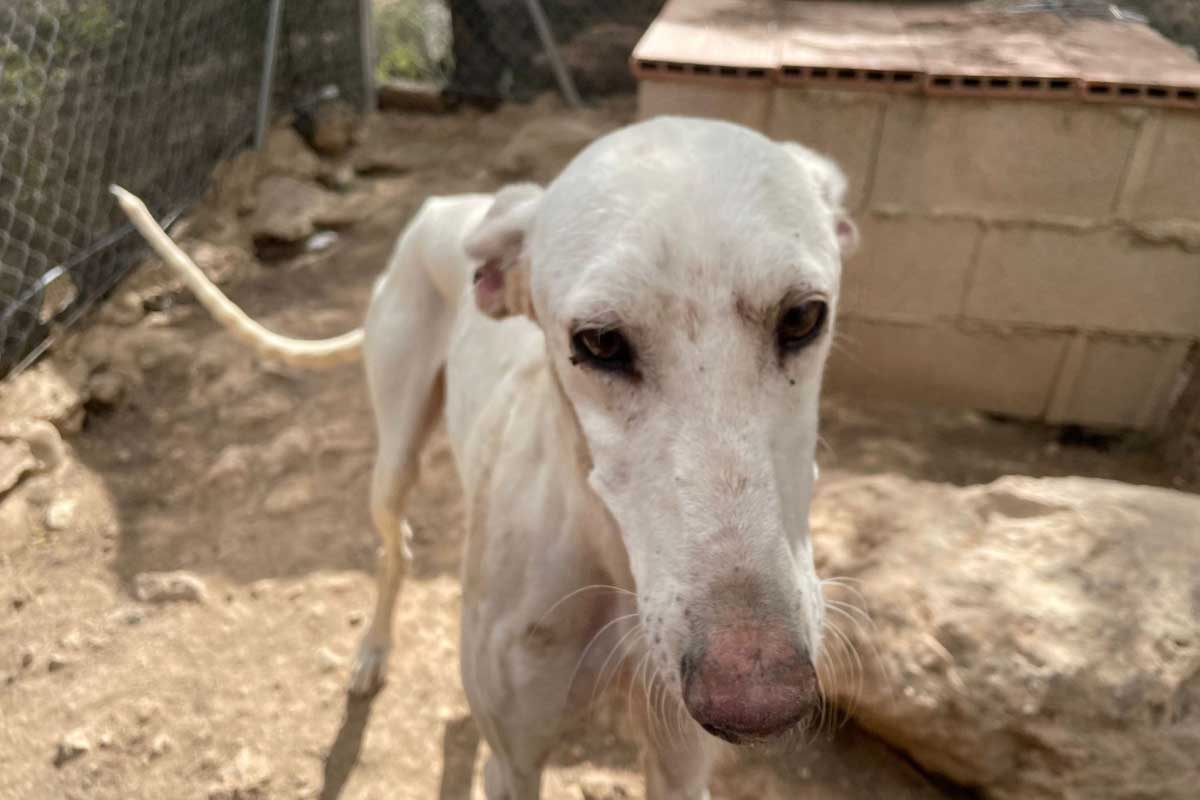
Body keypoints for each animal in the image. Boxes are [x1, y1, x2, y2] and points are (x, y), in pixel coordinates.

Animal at [113, 115, 858, 800]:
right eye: (598, 342)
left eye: (803, 317)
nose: (759, 697)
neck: (609, 561)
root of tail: (451, 206)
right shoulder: (515, 760)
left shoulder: (678, 767)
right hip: (394, 458)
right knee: (396, 546)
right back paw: (372, 652)